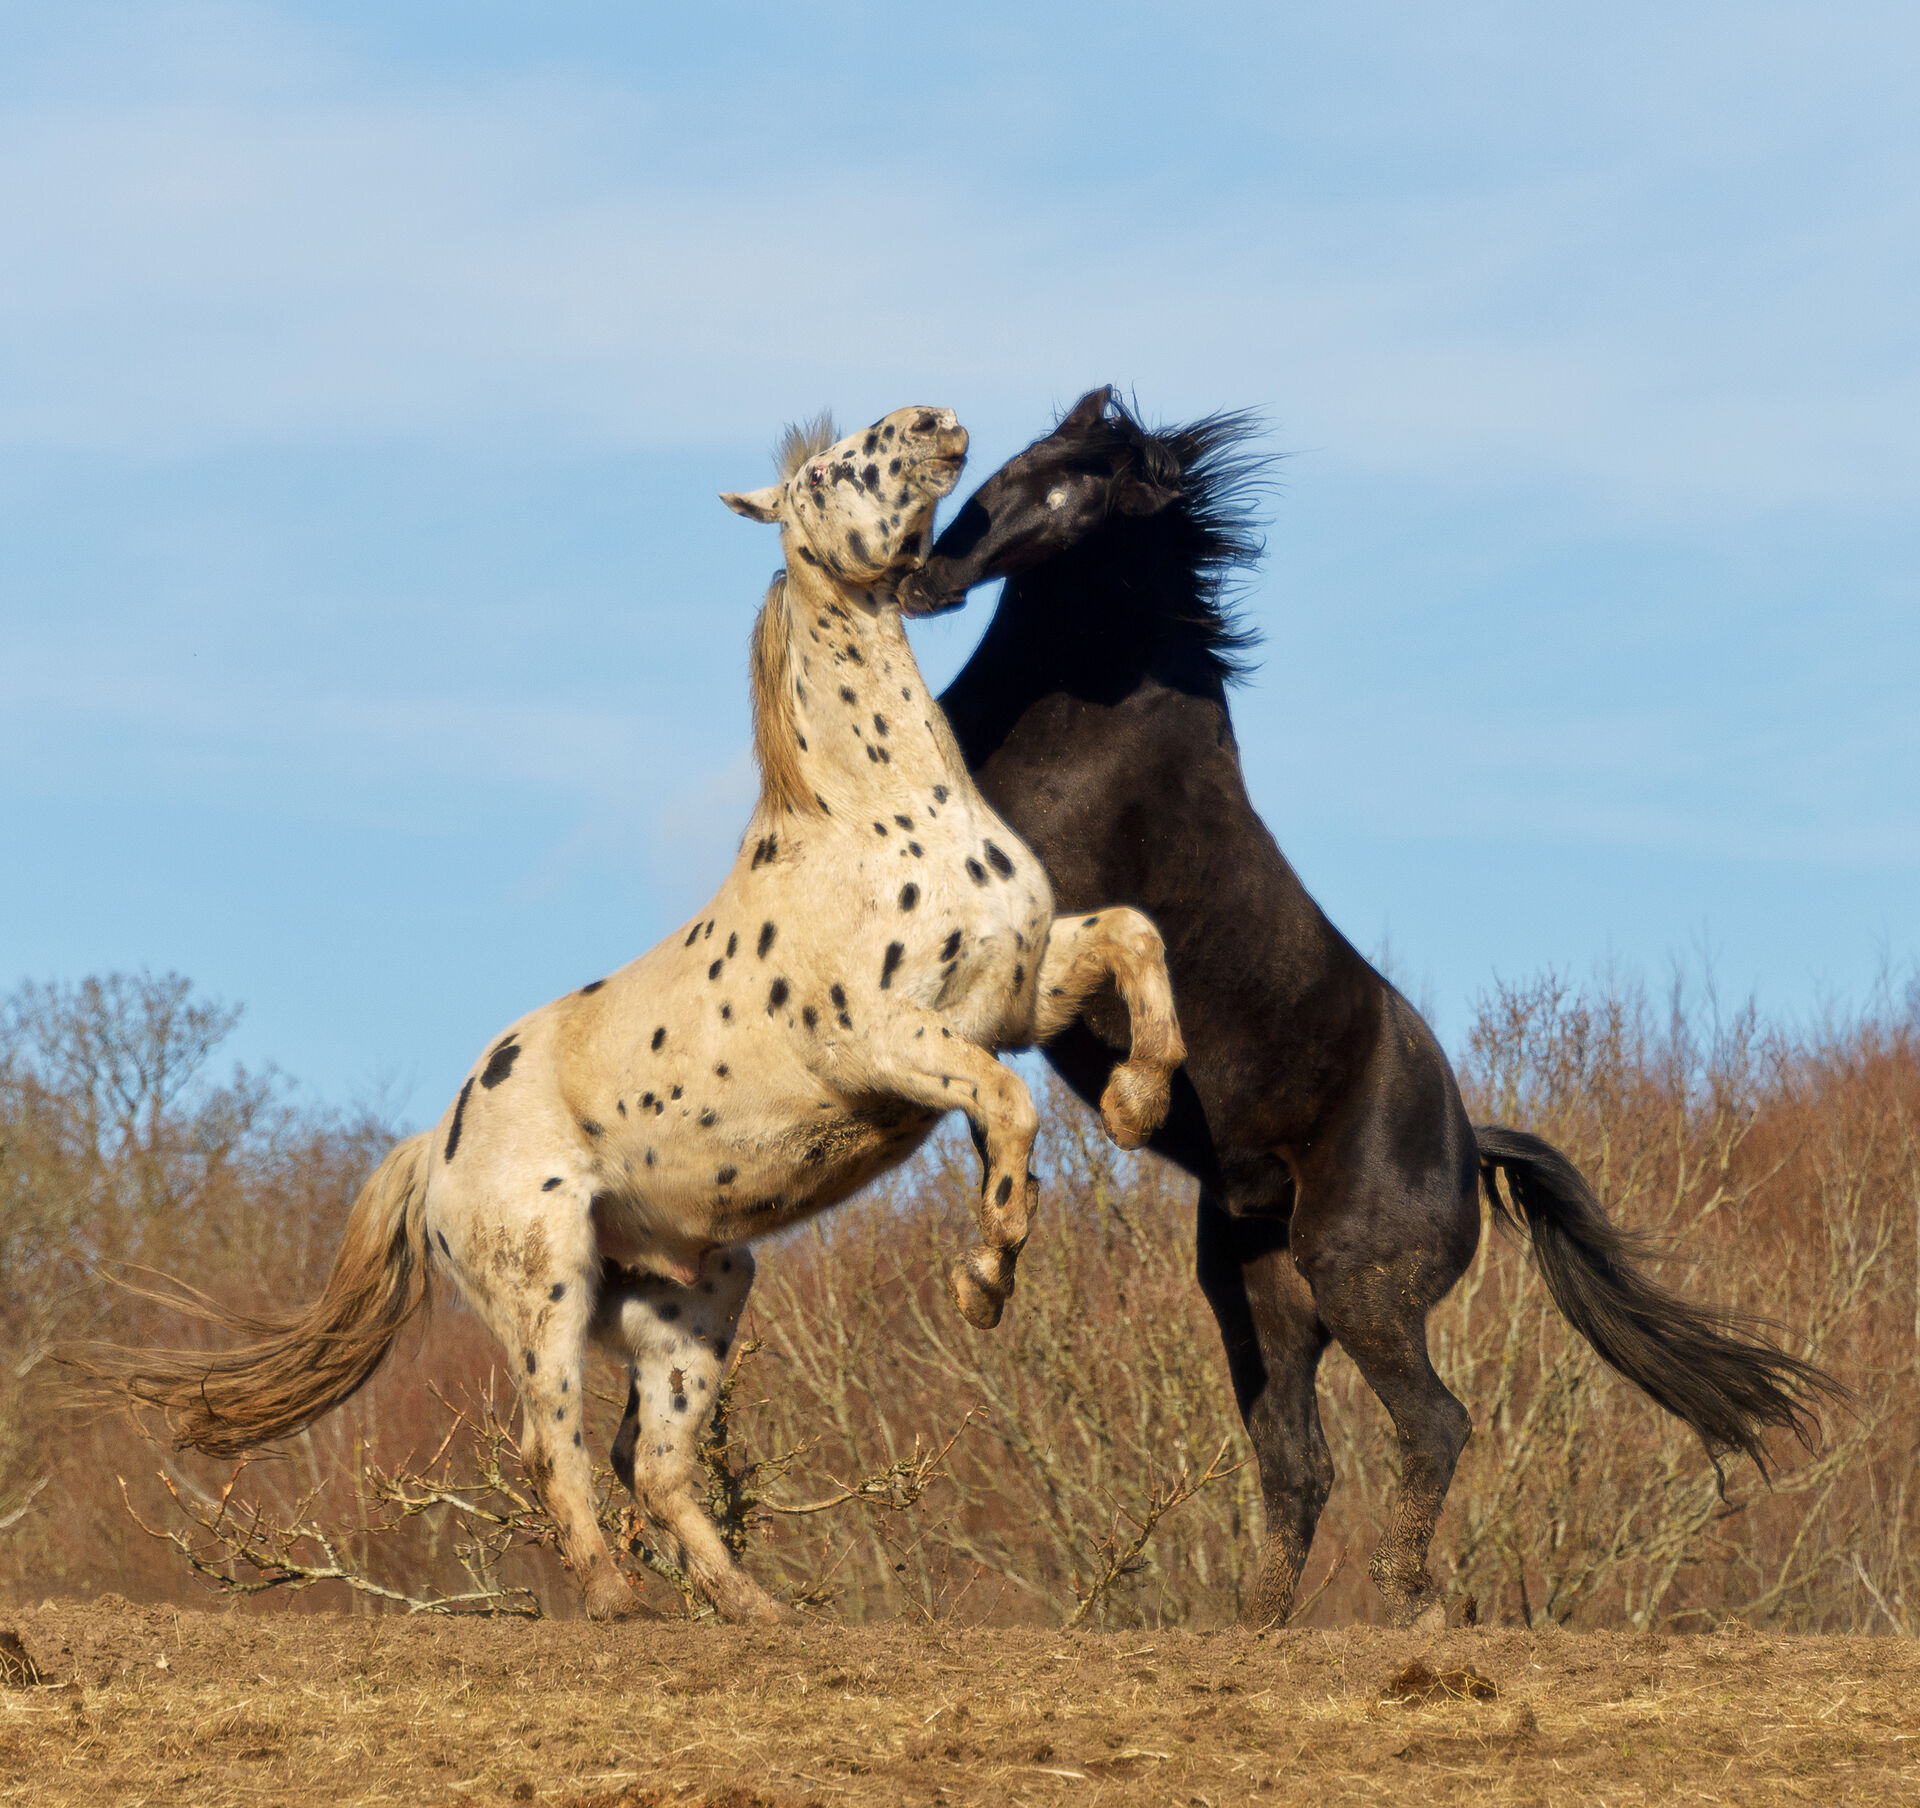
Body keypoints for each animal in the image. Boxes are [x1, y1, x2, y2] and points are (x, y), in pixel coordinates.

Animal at [90, 404, 1185, 1624]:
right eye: (822, 474)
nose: (934, 422)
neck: (883, 816)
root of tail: (440, 1144)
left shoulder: (1017, 990)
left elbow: (1135, 941)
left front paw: (1137, 1105)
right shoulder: (891, 1040)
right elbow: (1007, 1108)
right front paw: (984, 1281)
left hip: (694, 1302)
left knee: (651, 1463)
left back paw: (753, 1610)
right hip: (549, 1292)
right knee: (553, 1448)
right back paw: (619, 1599)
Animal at [902, 386, 1839, 1630]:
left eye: (1069, 491)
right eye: (1007, 466)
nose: (927, 576)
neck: (1084, 725)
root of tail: (1468, 1139)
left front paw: (1122, 1112)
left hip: (1358, 1277)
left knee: (1431, 1423)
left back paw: (1413, 1599)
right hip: (1258, 1289)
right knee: (1300, 1461)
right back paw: (1257, 1622)